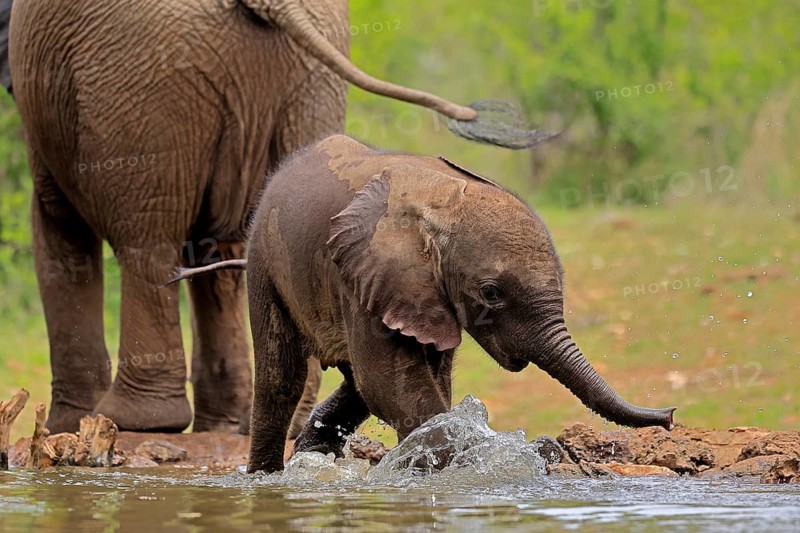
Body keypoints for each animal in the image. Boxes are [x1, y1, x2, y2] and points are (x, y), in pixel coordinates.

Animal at [3, 0, 553, 435]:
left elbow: (56, 232)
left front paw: (66, 426)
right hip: (289, 83)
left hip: (139, 83)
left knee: (145, 238)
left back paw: (137, 422)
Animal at [170, 134, 676, 473]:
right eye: (491, 293)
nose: (670, 416)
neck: (442, 203)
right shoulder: (366, 273)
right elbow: (394, 385)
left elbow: (417, 377)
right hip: (266, 259)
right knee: (283, 375)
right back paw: (267, 479)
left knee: (353, 382)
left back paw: (312, 458)